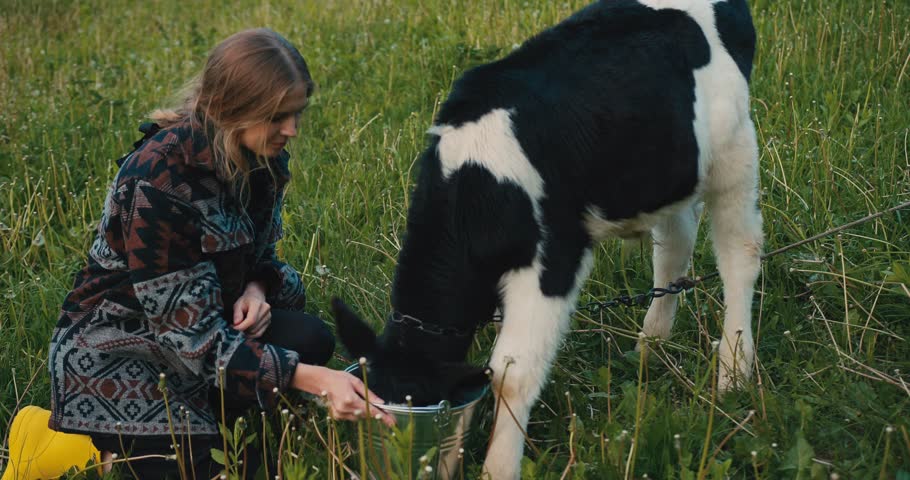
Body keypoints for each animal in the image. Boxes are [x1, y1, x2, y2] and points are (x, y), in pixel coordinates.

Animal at [332, 0, 762, 477]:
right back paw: (651, 345)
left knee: (739, 257)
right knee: (674, 246)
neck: (477, 183)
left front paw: (498, 466)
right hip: (669, 171)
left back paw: (734, 371)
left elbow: (510, 374)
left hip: (735, 155)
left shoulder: (552, 259)